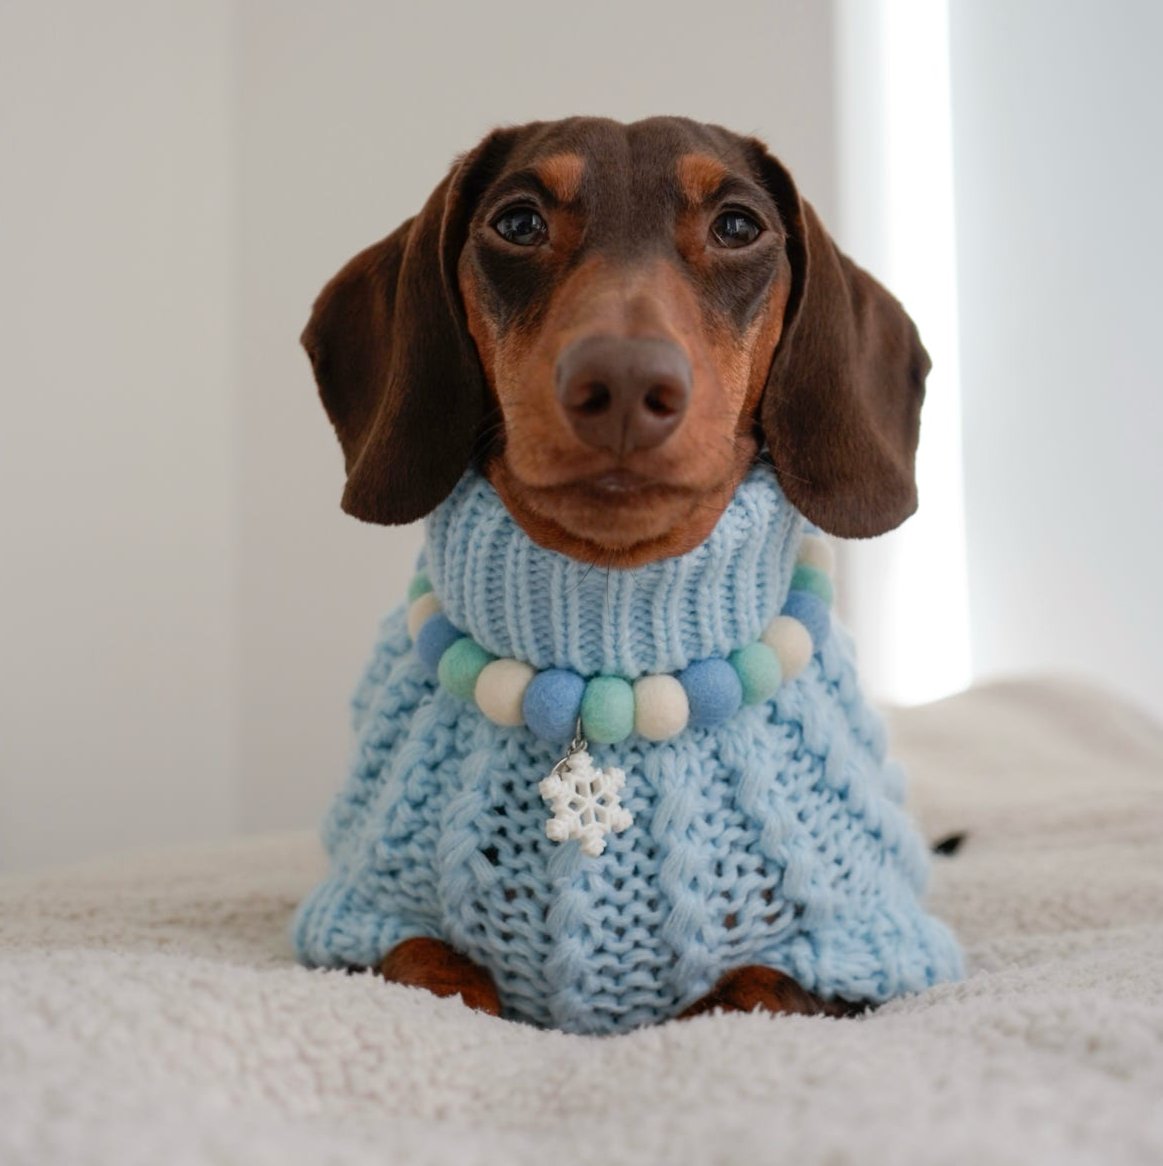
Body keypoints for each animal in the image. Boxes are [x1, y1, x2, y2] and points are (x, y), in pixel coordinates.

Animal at [298, 113, 923, 1016]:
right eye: (517, 221)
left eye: (738, 226)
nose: (623, 382)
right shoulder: (356, 923)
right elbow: (435, 972)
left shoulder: (869, 949)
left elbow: (753, 989)